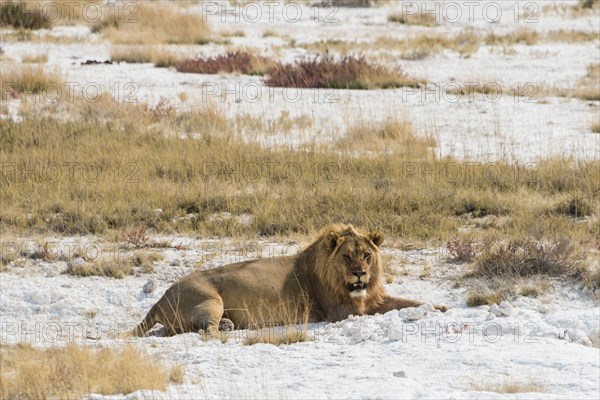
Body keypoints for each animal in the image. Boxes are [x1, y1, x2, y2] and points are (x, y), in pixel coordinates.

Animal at [134, 223, 448, 336]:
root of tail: (159, 299)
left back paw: (228, 325)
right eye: (347, 256)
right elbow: (388, 309)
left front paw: (442, 307)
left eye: (366, 256)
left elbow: (408, 301)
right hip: (210, 300)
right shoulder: (342, 311)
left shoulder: (372, 296)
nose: (360, 273)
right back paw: (223, 331)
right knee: (205, 331)